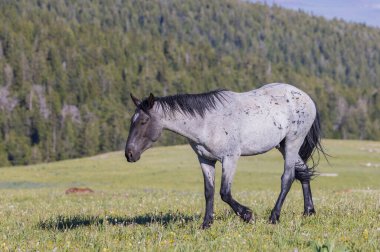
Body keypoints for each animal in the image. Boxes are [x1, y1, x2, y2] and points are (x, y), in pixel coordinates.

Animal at [125, 82, 326, 228]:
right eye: (132, 121)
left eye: (143, 121)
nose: (129, 154)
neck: (207, 122)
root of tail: (305, 97)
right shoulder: (205, 160)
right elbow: (209, 191)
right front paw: (206, 224)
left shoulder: (230, 158)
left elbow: (224, 192)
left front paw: (247, 215)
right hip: (282, 145)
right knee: (303, 172)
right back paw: (309, 211)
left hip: (293, 142)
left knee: (288, 177)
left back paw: (274, 217)